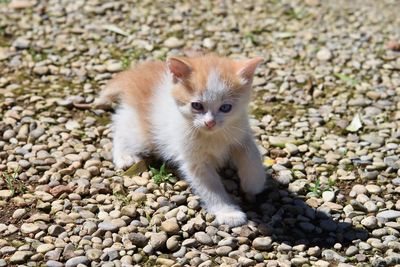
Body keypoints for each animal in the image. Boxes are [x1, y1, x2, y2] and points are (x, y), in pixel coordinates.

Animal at [98, 54, 266, 228]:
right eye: (197, 105)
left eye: (226, 108)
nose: (210, 123)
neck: (211, 135)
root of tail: (138, 72)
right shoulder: (195, 161)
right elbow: (211, 187)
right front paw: (228, 213)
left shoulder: (240, 130)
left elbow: (251, 151)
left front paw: (254, 182)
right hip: (143, 131)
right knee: (121, 123)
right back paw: (124, 156)